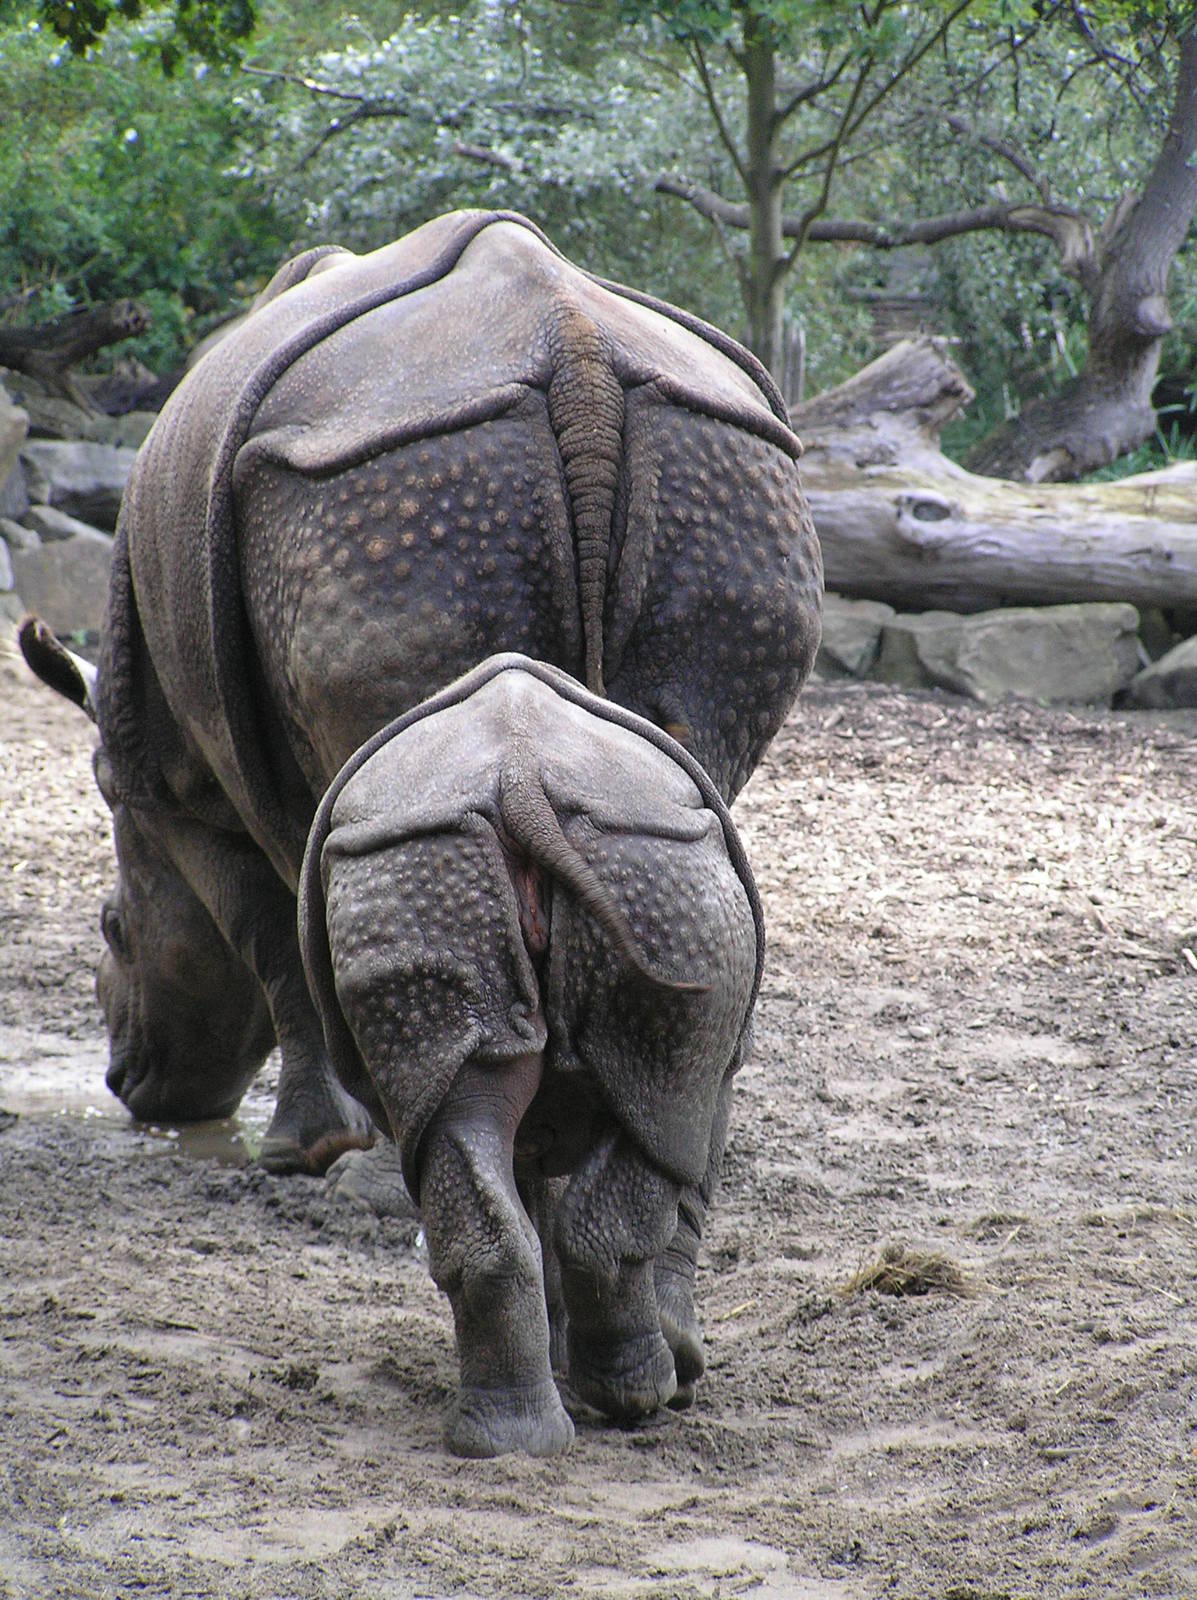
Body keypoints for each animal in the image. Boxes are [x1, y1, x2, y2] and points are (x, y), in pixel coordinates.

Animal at [19, 208, 821, 1175]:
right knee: (685, 785)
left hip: (382, 484)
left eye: (111, 929)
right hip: (723, 473)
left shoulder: (183, 788)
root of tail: (576, 352)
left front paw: (307, 1154)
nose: (128, 1084)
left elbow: (269, 930)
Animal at [299, 653, 761, 1455]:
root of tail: (519, 777)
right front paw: (684, 1370)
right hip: (657, 863)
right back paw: (640, 1399)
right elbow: (685, 1189)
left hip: (421, 865)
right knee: (653, 1138)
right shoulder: (712, 1087)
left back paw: (508, 1440)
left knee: (466, 1125)